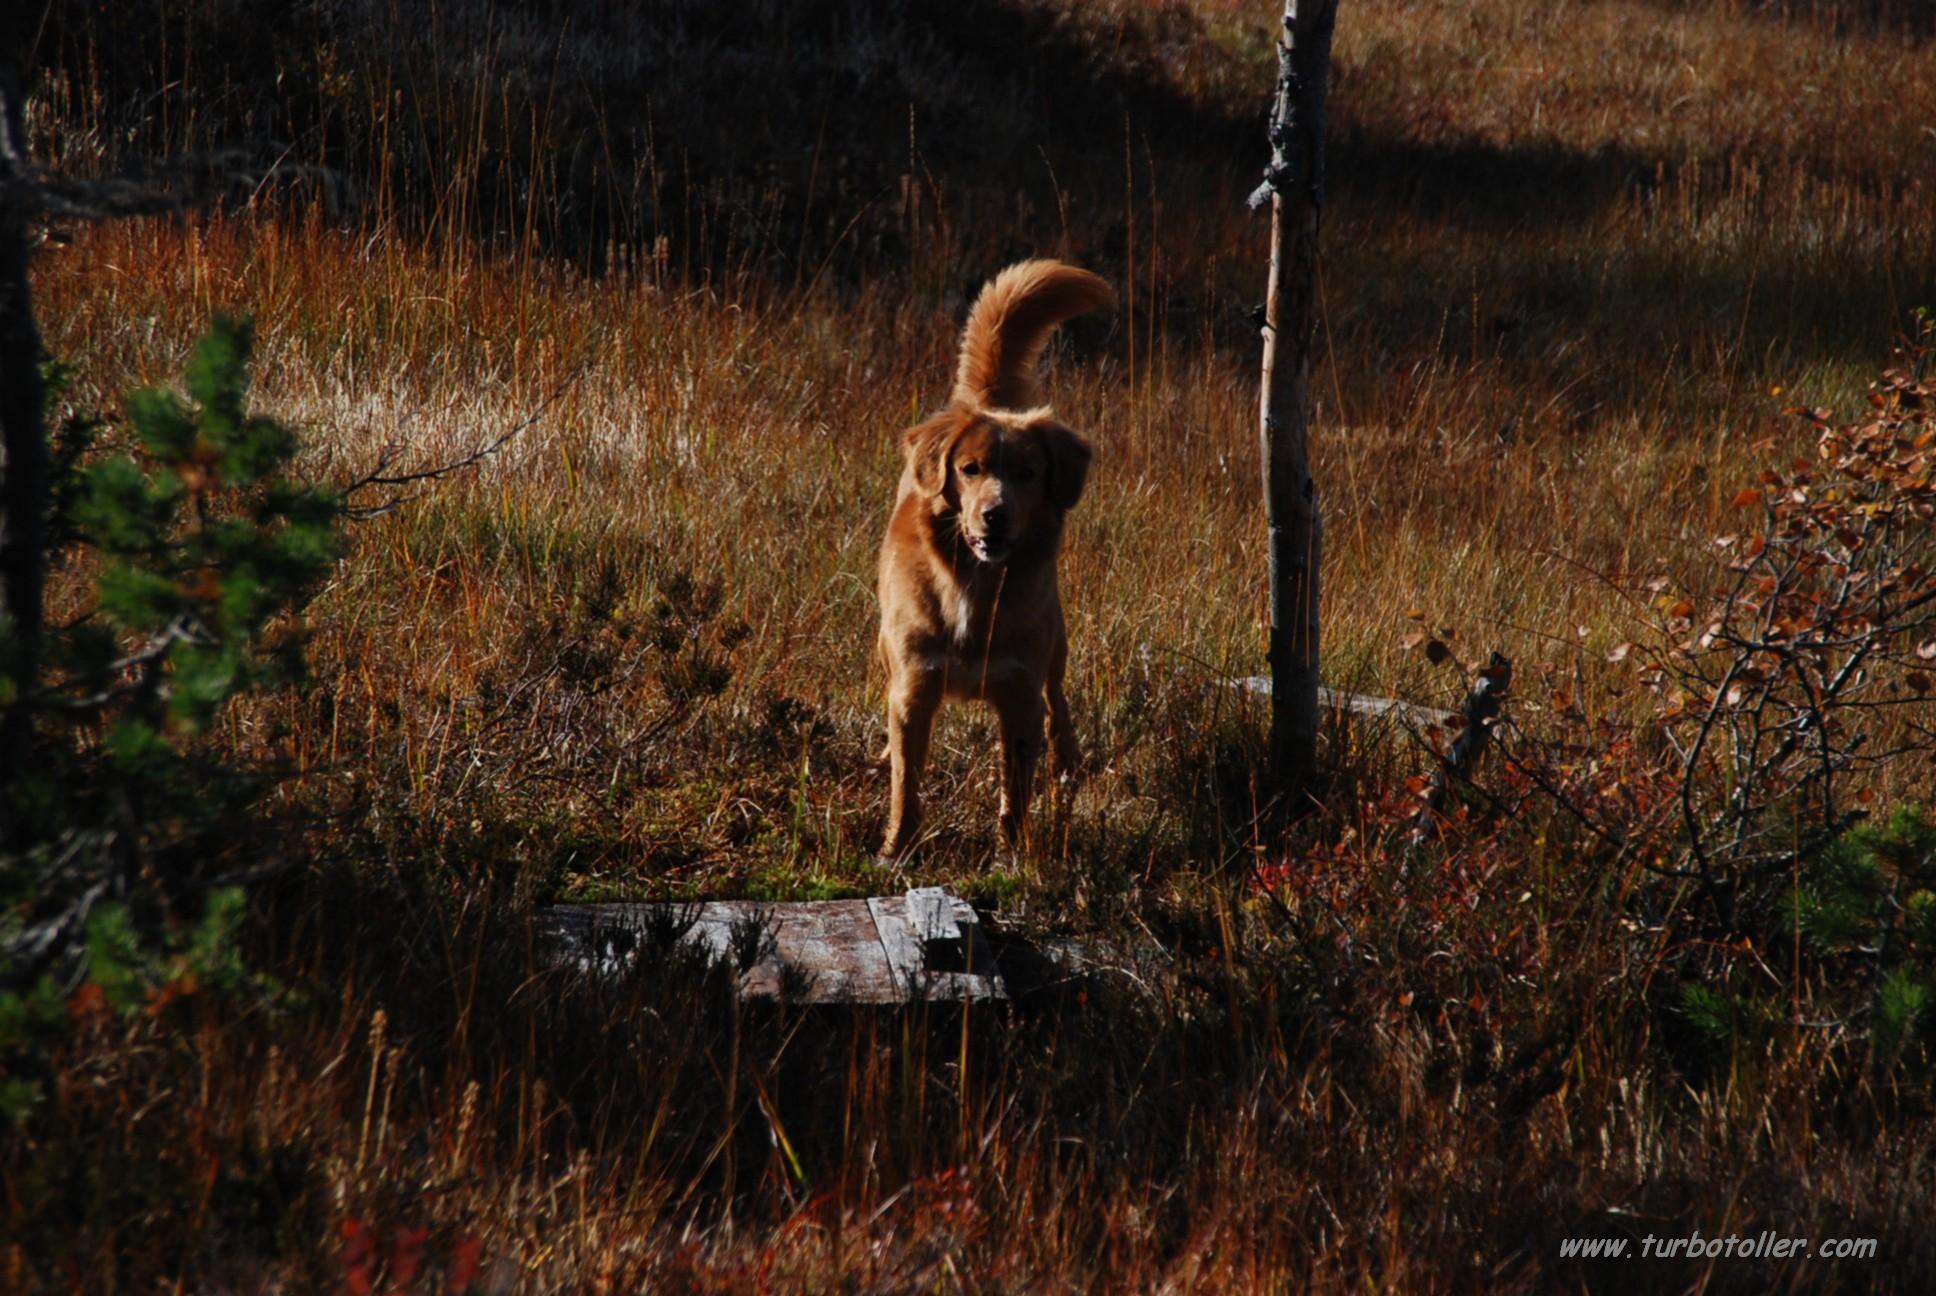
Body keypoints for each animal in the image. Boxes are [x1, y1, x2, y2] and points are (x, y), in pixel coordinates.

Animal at [878, 259, 1122, 860]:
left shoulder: (1018, 694)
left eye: (1028, 474)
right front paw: (898, 846)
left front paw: (1013, 853)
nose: (995, 515)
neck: (974, 587)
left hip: (1055, 644)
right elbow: (906, 780)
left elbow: (1017, 784)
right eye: (970, 469)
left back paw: (1068, 757)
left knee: (1058, 702)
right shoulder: (915, 687)